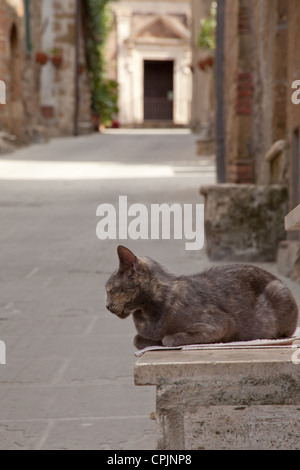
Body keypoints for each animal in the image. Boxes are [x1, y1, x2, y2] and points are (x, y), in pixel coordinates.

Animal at [105, 246, 298, 348]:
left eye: (110, 290)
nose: (106, 305)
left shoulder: (218, 325)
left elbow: (168, 339)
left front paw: (162, 340)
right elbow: (137, 339)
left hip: (276, 291)